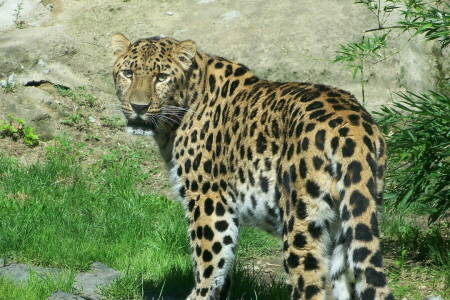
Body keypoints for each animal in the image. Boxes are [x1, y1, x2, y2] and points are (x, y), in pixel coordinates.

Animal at [110, 33, 392, 300]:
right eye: (128, 73)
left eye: (162, 77)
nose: (138, 107)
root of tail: (352, 126)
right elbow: (224, 271)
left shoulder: (208, 203)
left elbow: (208, 267)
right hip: (352, 221)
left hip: (302, 222)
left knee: (310, 286)